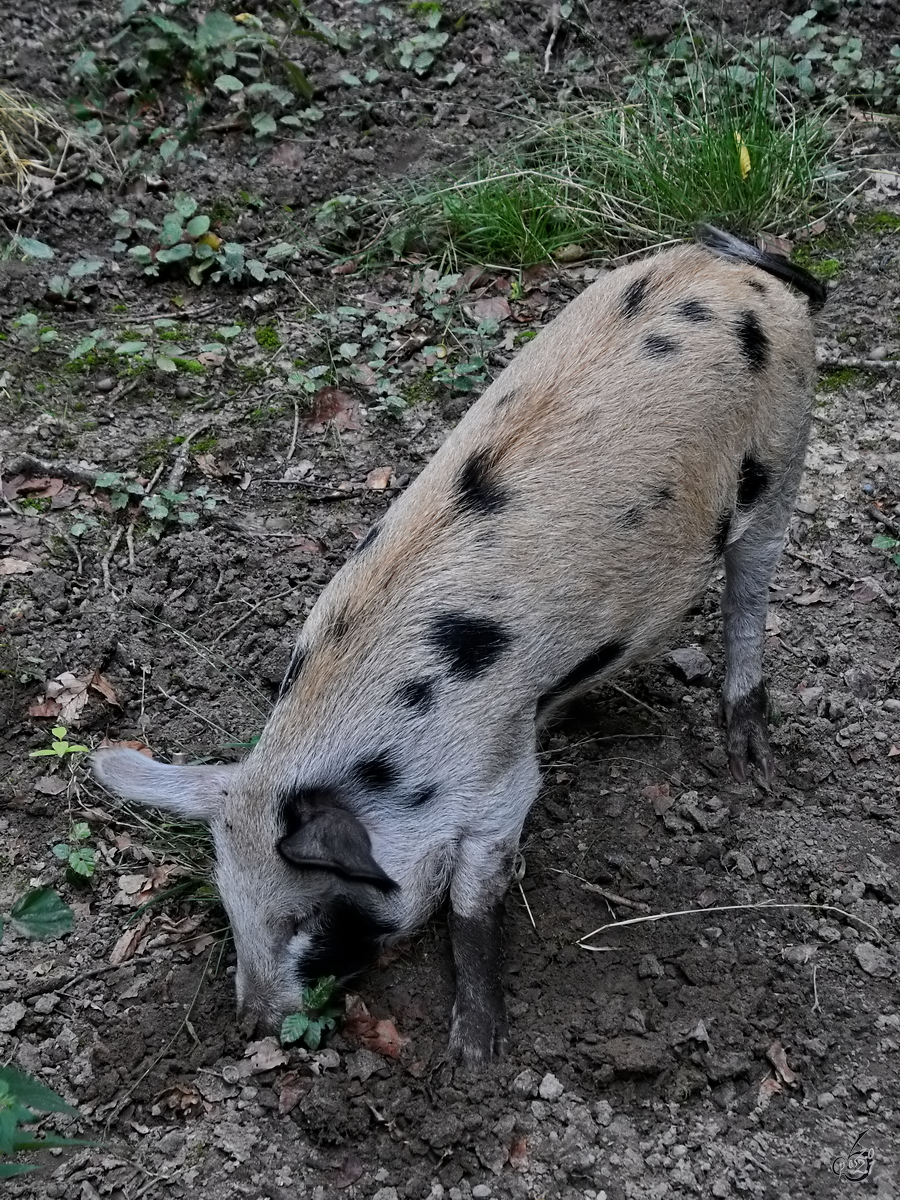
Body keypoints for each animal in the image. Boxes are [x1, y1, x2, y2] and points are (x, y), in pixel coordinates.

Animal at [93, 223, 830, 1060]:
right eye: (226, 901)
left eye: (310, 917)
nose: (254, 1025)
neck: (395, 749)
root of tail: (738, 268)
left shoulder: (501, 772)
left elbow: (475, 896)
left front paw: (474, 1052)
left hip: (784, 453)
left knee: (750, 593)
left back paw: (752, 766)